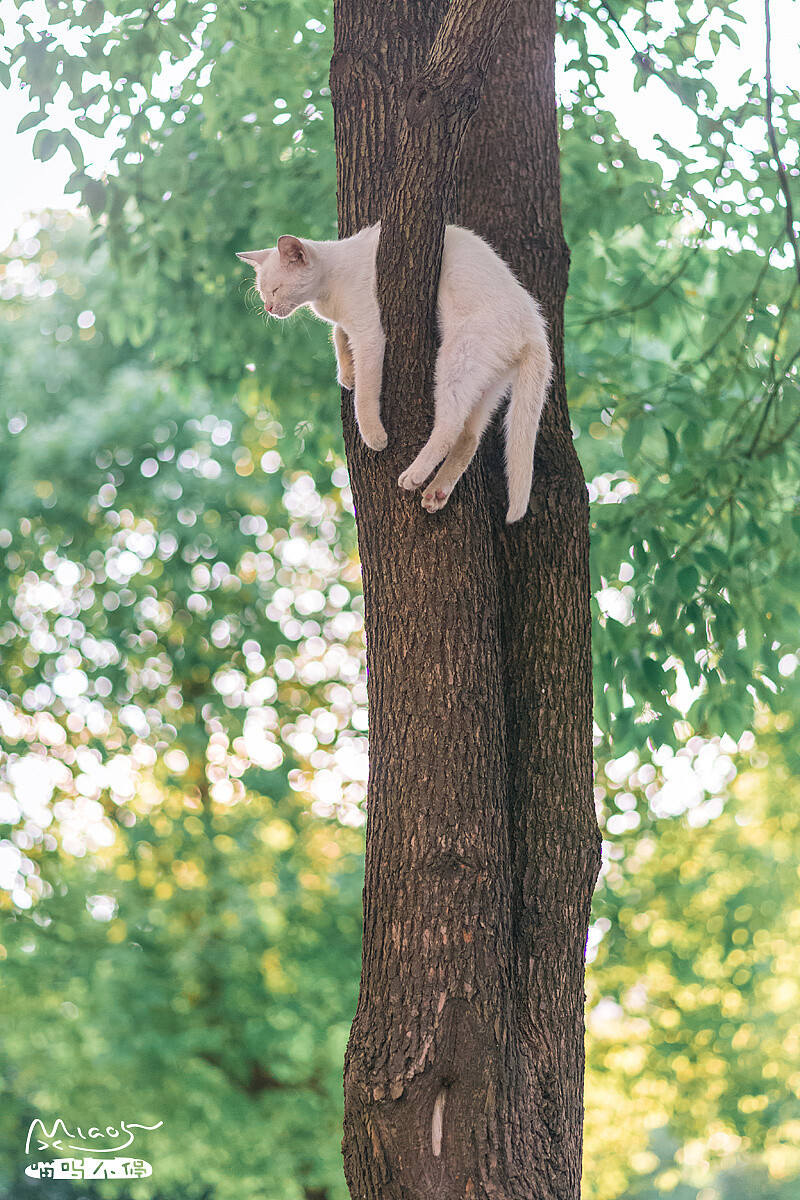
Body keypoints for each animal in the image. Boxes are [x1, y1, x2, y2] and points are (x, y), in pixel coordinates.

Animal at [237, 224, 551, 520]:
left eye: (276, 289)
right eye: (263, 293)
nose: (268, 307)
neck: (325, 293)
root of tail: (534, 329)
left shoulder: (370, 333)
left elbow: (364, 394)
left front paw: (374, 434)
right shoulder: (350, 324)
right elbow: (337, 334)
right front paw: (347, 372)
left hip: (458, 359)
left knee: (449, 428)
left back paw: (414, 475)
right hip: (486, 382)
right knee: (469, 437)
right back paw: (436, 492)